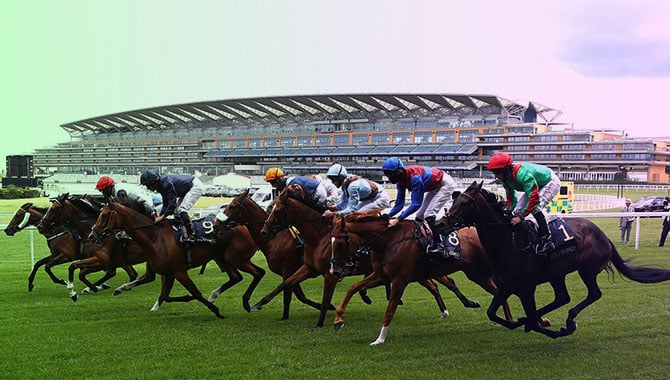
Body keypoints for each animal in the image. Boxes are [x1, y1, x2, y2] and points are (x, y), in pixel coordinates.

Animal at [90, 196, 264, 318]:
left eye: (104, 215)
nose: (92, 236)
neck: (154, 237)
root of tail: (244, 225)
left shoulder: (179, 271)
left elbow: (195, 293)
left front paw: (215, 310)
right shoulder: (165, 272)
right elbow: (164, 295)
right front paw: (119, 289)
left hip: (237, 258)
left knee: (258, 272)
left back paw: (246, 303)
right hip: (222, 257)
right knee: (236, 277)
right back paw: (215, 295)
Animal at [258, 189, 484, 328]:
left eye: (277, 209)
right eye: (269, 207)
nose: (264, 231)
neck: (319, 236)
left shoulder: (330, 274)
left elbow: (325, 299)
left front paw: (321, 322)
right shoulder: (309, 268)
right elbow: (285, 283)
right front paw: (259, 303)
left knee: (447, 282)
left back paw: (467, 303)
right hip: (419, 272)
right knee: (435, 285)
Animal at [332, 209, 516, 346]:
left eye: (339, 243)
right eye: (331, 241)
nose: (335, 270)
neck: (388, 240)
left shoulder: (399, 280)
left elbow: (390, 310)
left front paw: (379, 339)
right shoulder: (381, 275)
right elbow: (353, 288)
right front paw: (338, 320)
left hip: (480, 273)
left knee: (500, 291)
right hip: (476, 274)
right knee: (498, 292)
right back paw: (506, 320)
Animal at [448, 182, 670, 338]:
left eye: (465, 203)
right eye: (454, 201)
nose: (444, 222)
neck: (510, 242)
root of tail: (604, 236)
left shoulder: (526, 288)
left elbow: (530, 319)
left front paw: (549, 328)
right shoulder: (506, 286)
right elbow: (492, 313)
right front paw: (521, 322)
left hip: (586, 269)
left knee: (593, 294)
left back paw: (570, 320)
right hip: (557, 273)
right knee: (562, 297)